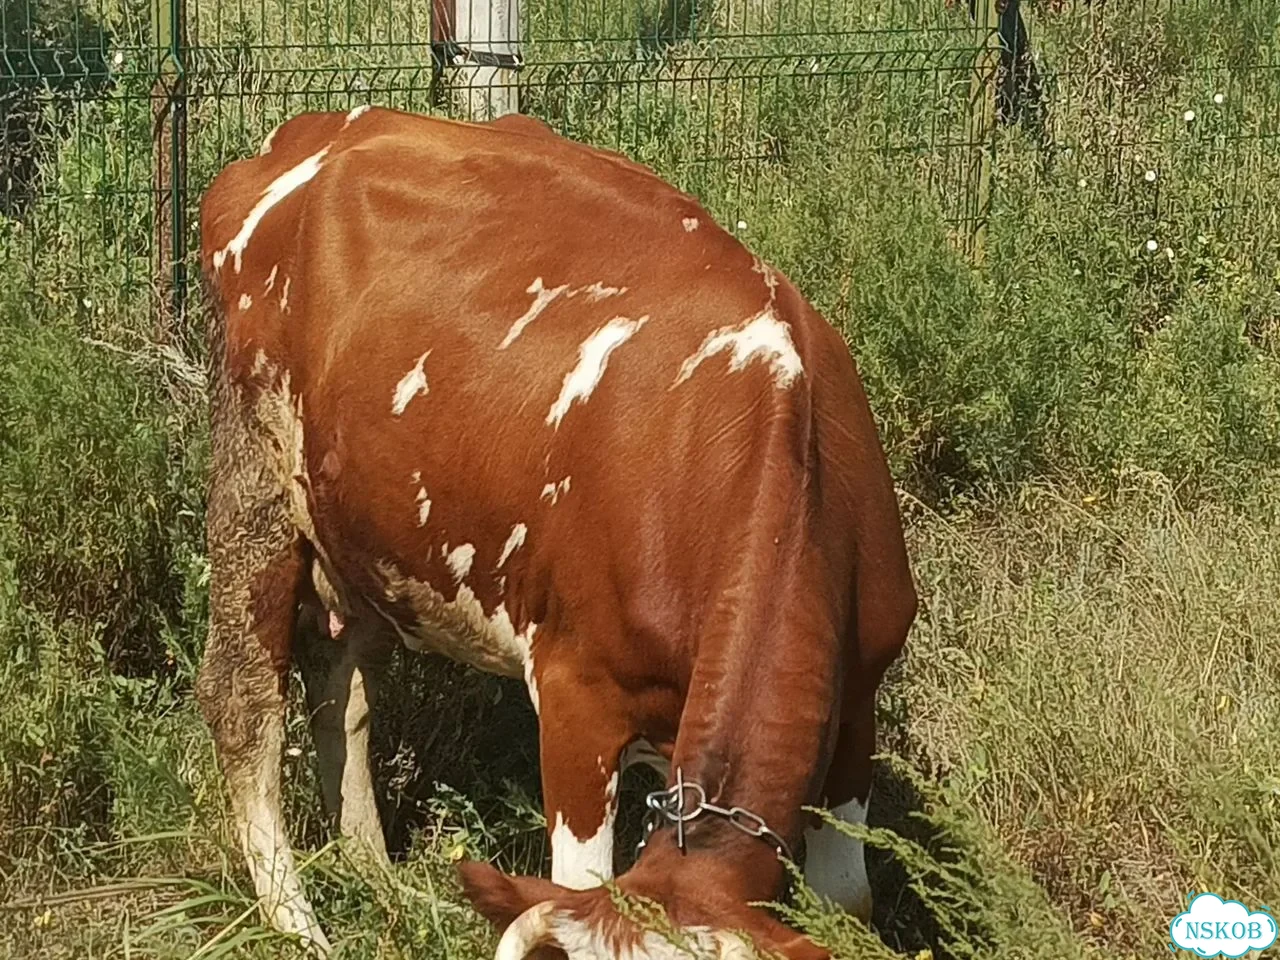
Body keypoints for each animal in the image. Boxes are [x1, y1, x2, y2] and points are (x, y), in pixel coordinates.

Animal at [195, 105, 916, 959]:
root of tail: (317, 129)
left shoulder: (860, 698)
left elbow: (852, 899)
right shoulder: (578, 696)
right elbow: (578, 878)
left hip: (366, 533)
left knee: (343, 690)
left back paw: (383, 882)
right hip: (255, 483)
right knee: (242, 703)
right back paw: (299, 921)